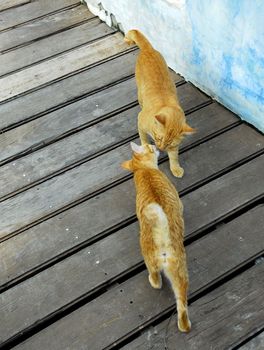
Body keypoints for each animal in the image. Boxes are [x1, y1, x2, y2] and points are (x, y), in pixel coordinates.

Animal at [120, 142, 191, 330]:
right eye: (149, 146)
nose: (154, 144)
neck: (143, 170)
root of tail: (163, 242)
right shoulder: (179, 201)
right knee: (157, 282)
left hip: (170, 270)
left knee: (180, 303)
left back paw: (184, 325)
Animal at [124, 29, 194, 178]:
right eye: (158, 137)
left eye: (169, 144)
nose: (161, 148)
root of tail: (148, 49)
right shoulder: (140, 122)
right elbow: (143, 138)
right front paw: (145, 147)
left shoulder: (174, 147)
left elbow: (174, 157)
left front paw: (175, 168)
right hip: (140, 93)